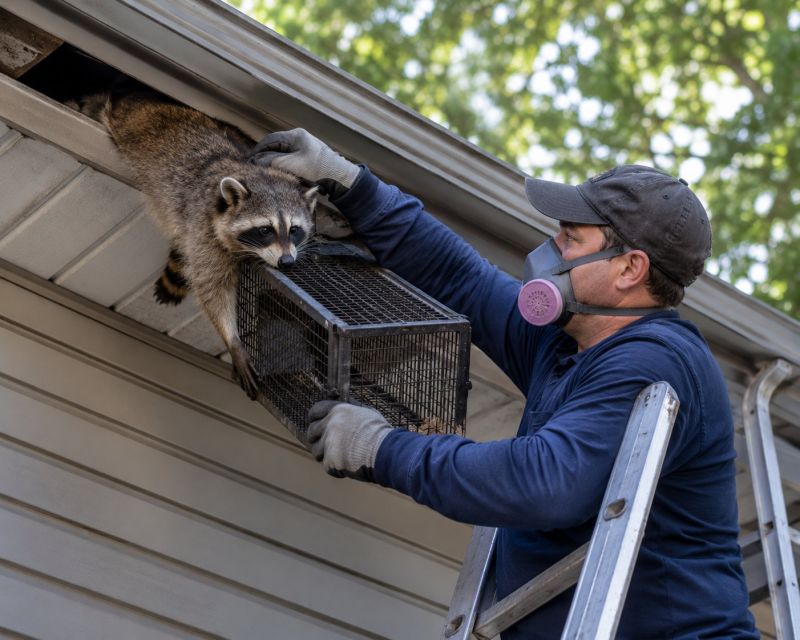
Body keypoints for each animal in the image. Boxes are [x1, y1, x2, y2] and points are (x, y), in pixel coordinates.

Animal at [73, 88, 317, 399]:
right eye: (265, 230)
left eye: (295, 230)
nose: (287, 262)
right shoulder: (203, 228)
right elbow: (212, 287)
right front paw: (232, 338)